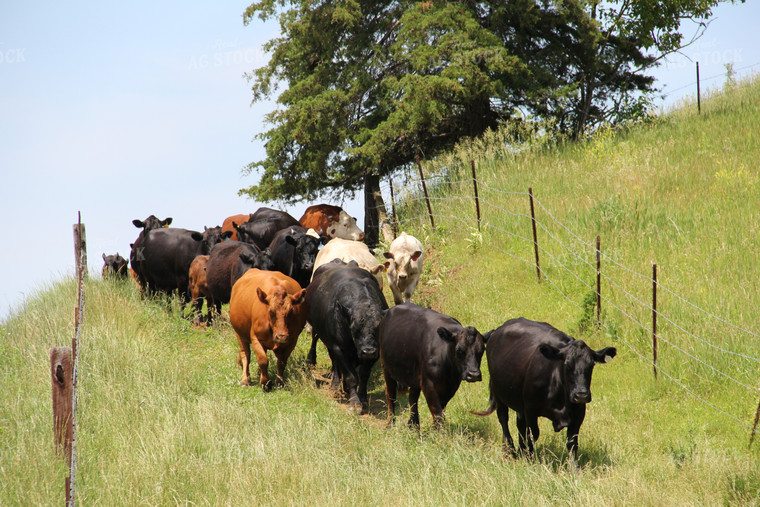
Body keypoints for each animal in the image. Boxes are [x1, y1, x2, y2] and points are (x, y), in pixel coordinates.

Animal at [304, 260, 388, 414]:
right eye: (354, 328)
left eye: (378, 328)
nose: (368, 351)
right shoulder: (339, 348)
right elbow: (351, 377)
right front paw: (355, 403)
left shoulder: (375, 353)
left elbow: (364, 375)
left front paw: (363, 398)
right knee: (331, 358)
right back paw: (334, 384)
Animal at [476, 318, 616, 464]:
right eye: (566, 364)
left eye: (592, 365)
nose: (581, 394)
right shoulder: (530, 409)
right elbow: (533, 434)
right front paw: (529, 459)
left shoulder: (579, 410)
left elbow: (572, 441)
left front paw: (574, 466)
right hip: (499, 395)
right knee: (504, 420)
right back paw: (509, 450)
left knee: (520, 425)